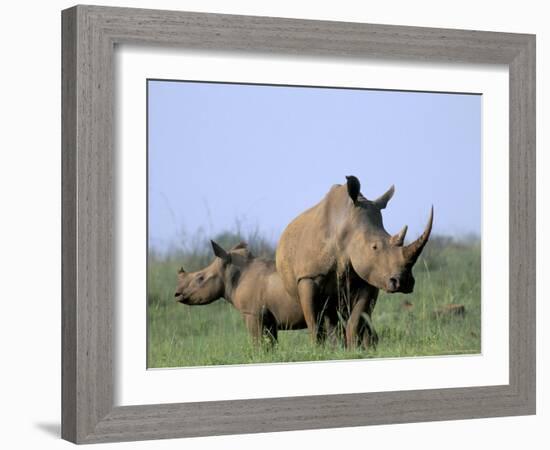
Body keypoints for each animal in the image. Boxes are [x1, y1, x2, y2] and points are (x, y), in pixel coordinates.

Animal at [276, 176, 436, 348]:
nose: (404, 282)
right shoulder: (308, 276)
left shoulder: (369, 277)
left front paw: (354, 348)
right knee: (328, 312)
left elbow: (358, 316)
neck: (346, 228)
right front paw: (318, 349)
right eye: (374, 247)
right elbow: (314, 321)